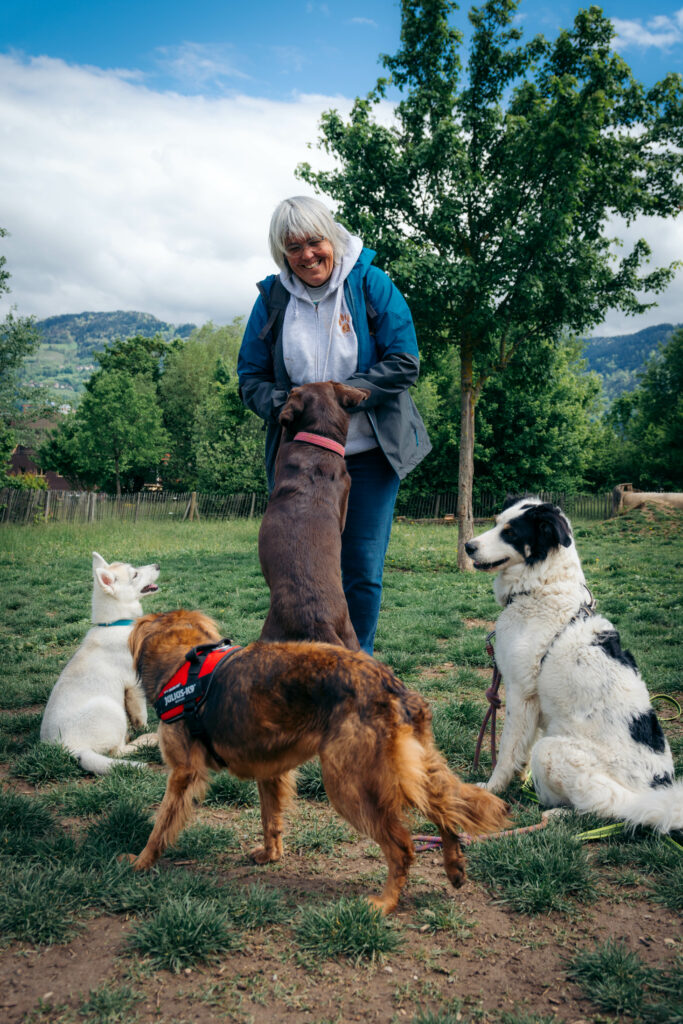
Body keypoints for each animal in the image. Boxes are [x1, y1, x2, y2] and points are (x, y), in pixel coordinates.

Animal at [40, 552, 160, 774]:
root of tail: (70, 749)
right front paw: (145, 729)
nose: (157, 565)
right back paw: (148, 739)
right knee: (117, 751)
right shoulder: (134, 685)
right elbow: (141, 715)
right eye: (135, 574)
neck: (114, 624)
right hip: (111, 709)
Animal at [125, 606, 509, 913]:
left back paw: (385, 902)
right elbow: (271, 820)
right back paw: (454, 867)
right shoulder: (270, 771)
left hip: (349, 786)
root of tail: (393, 688)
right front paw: (271, 856)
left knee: (403, 846)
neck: (184, 660)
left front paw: (139, 863)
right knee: (448, 810)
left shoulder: (183, 773)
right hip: (410, 773)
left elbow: (160, 825)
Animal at [464, 495, 683, 831]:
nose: (468, 546)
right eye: (497, 522)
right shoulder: (533, 704)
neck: (539, 587)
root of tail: (656, 795)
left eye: (510, 533)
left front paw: (493, 788)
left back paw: (557, 814)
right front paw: (521, 781)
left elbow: (506, 750)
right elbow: (521, 749)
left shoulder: (519, 692)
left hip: (553, 750)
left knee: (608, 808)